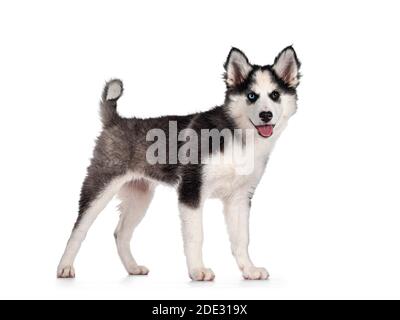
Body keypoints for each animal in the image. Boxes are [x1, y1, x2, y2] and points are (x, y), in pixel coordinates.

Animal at [57, 46, 302, 282]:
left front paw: (249, 270)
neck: (239, 137)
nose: (266, 115)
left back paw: (133, 268)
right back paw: (65, 267)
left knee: (121, 233)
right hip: (100, 186)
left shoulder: (240, 198)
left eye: (275, 95)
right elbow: (196, 236)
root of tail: (116, 121)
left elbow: (241, 239)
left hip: (140, 196)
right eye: (251, 96)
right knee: (78, 229)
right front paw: (197, 271)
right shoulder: (191, 190)